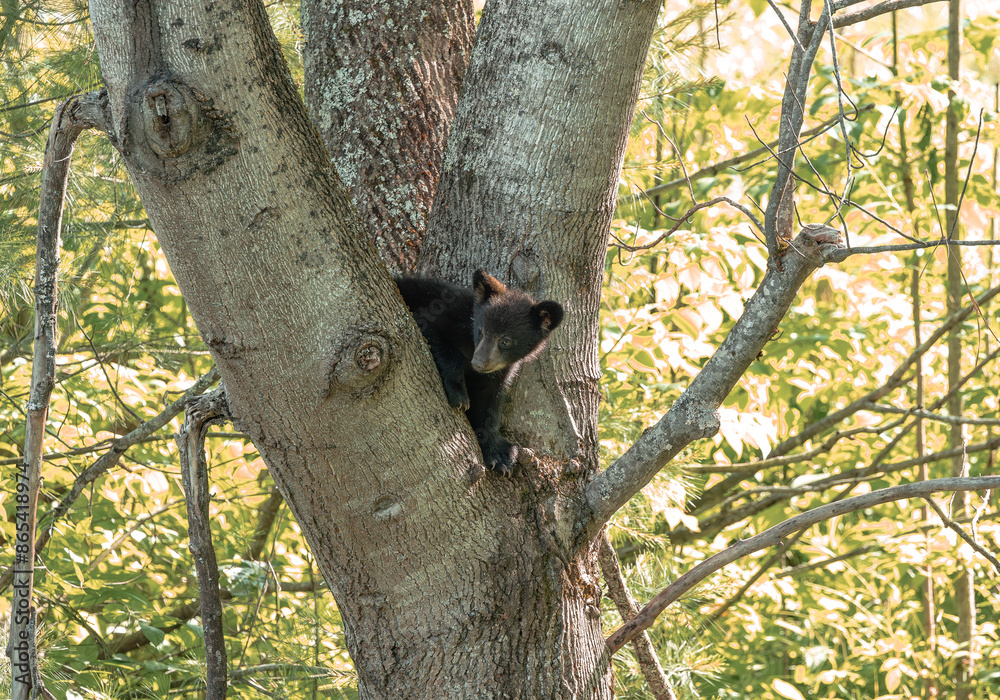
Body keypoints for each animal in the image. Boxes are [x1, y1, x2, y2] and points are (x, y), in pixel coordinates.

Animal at [394, 270, 564, 475]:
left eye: (505, 341)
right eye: (481, 331)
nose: (478, 363)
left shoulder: (500, 372)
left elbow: (488, 402)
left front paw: (499, 454)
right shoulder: (442, 313)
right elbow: (432, 333)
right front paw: (459, 394)